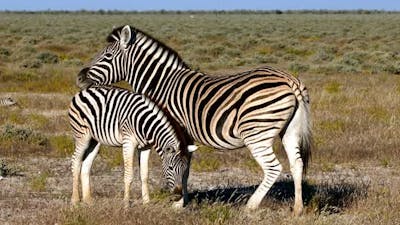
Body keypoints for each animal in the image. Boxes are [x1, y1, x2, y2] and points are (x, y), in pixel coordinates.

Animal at [70, 85, 198, 207]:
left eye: (185, 169)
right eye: (171, 168)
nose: (177, 195)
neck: (146, 124)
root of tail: (83, 91)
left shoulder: (145, 147)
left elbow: (144, 174)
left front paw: (146, 202)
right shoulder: (128, 142)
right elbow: (129, 175)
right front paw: (126, 203)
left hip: (94, 140)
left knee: (86, 164)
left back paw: (88, 201)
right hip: (82, 136)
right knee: (76, 162)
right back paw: (75, 201)